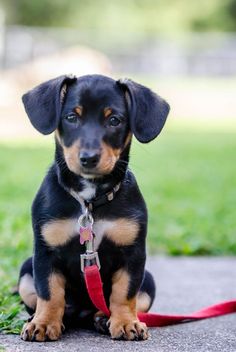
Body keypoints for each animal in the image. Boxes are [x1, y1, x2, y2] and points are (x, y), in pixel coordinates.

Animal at [18, 74, 170, 340]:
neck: (89, 199)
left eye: (114, 120)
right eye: (71, 117)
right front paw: (43, 324)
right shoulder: (45, 253)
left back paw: (101, 318)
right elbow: (49, 293)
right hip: (26, 270)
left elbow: (124, 294)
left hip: (149, 280)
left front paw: (126, 322)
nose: (88, 158)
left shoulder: (133, 254)